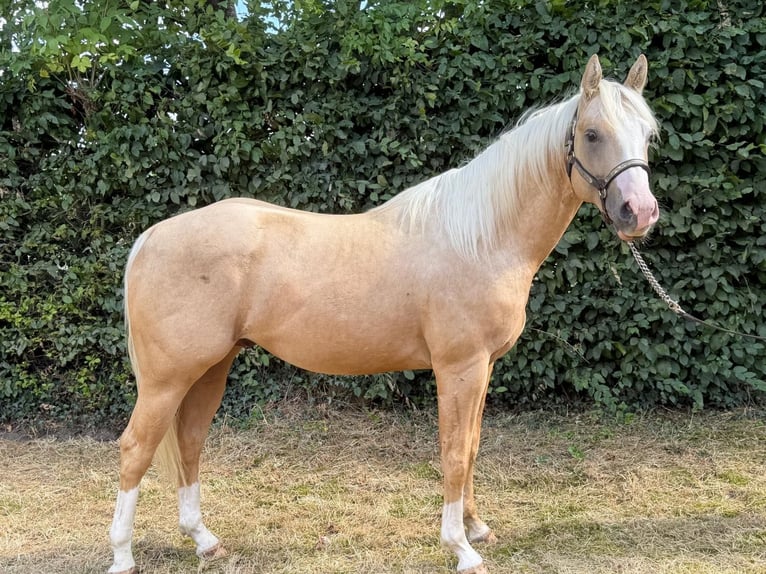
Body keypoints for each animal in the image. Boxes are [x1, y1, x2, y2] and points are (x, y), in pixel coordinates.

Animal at [108, 54, 659, 574]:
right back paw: (122, 555)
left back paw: (205, 541)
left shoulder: (483, 368)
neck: (480, 240)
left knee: (189, 442)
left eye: (648, 134)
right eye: (592, 134)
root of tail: (152, 236)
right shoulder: (459, 367)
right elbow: (454, 451)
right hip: (167, 379)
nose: (640, 212)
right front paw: (460, 548)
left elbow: (473, 447)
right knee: (135, 449)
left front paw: (476, 528)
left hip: (210, 369)